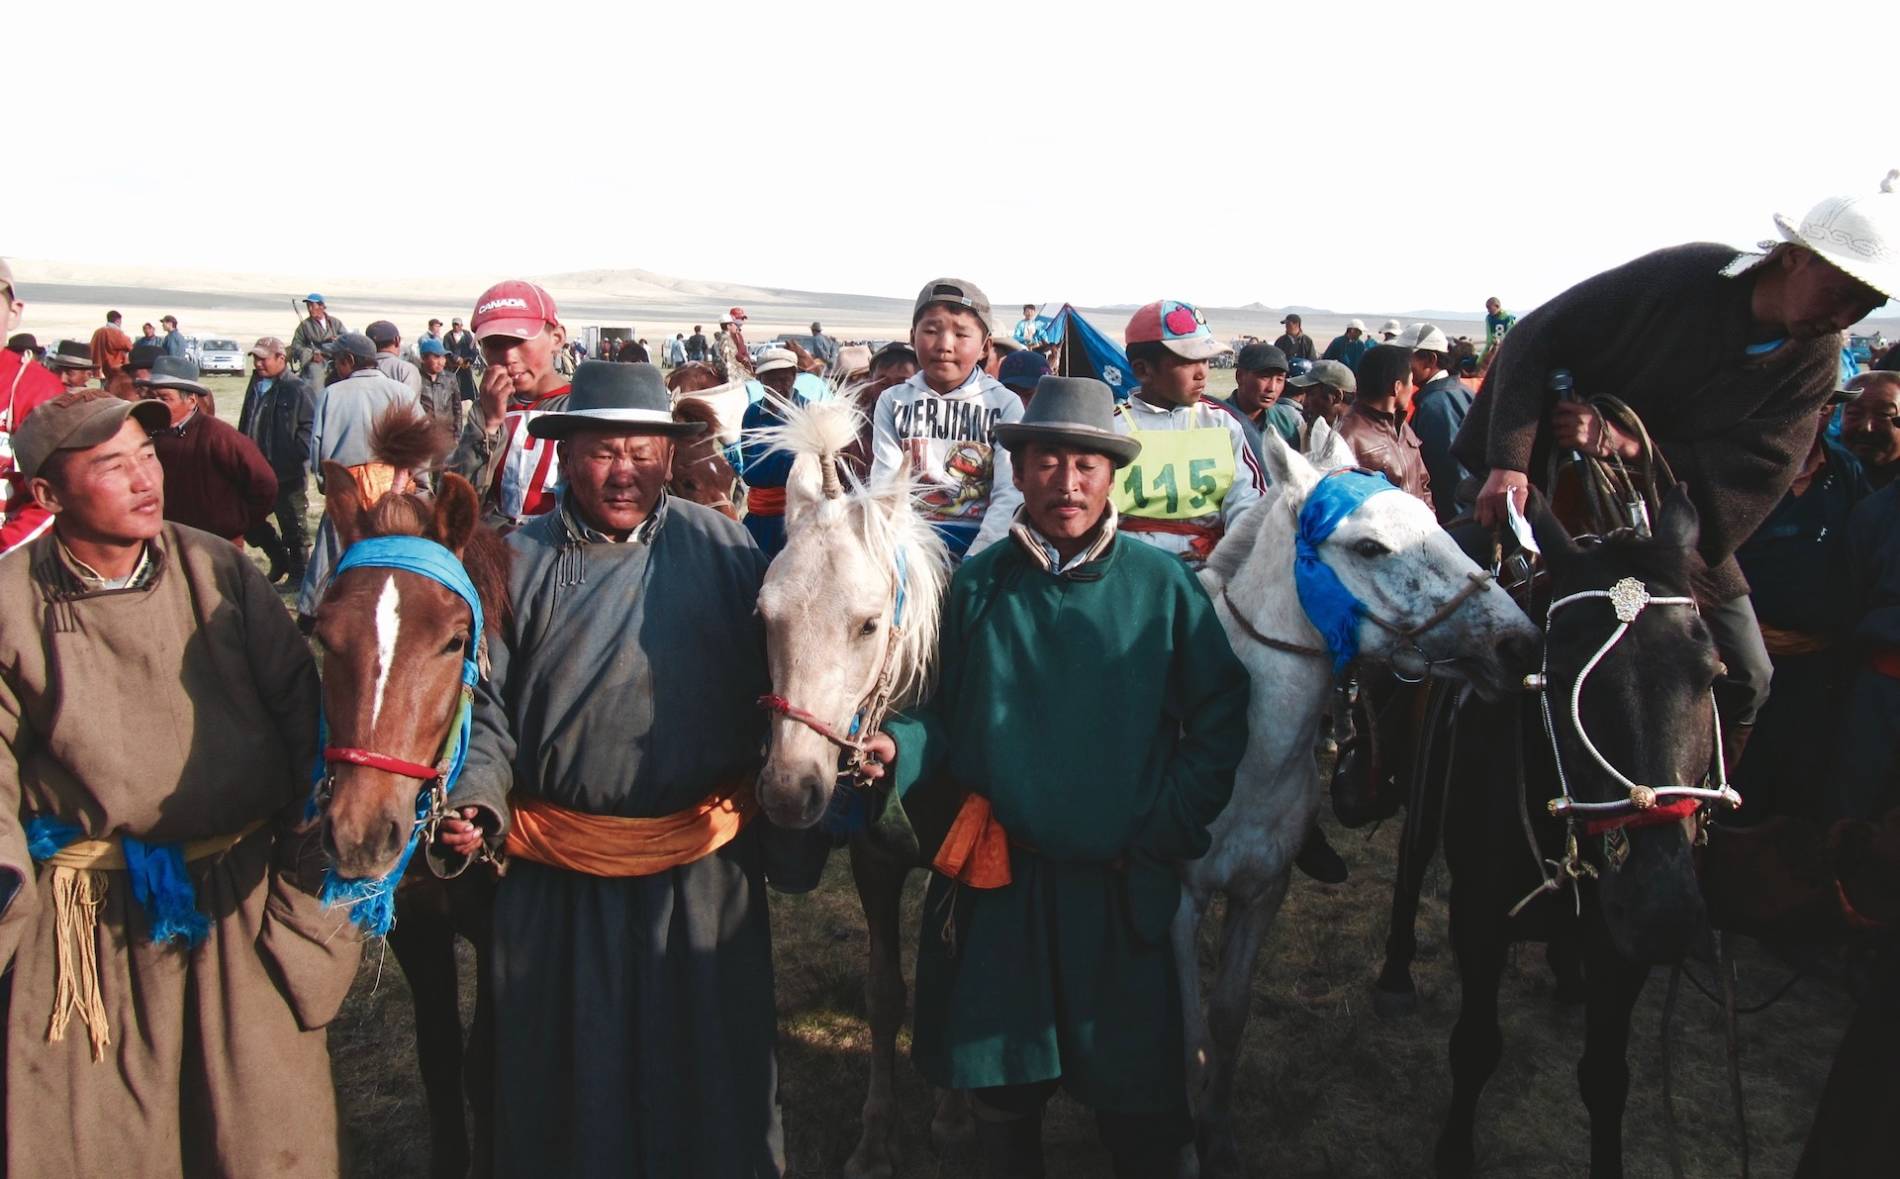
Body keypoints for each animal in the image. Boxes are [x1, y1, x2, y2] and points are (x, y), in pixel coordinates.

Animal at [315, 406, 516, 1177]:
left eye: (455, 640)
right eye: (321, 633)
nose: (361, 831)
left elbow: (484, 1065)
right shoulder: (420, 927)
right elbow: (437, 1061)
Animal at [752, 396, 972, 1177]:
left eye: (870, 623)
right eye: (764, 614)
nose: (790, 791)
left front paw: (950, 1116)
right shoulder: (876, 862)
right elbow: (883, 993)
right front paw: (877, 1133)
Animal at [1185, 423, 1542, 1177]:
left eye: (1434, 519)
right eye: (1371, 546)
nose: (1519, 643)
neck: (1244, 760)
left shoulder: (1263, 891)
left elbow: (1228, 1015)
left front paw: (1218, 1131)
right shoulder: (1176, 896)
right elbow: (1189, 1033)